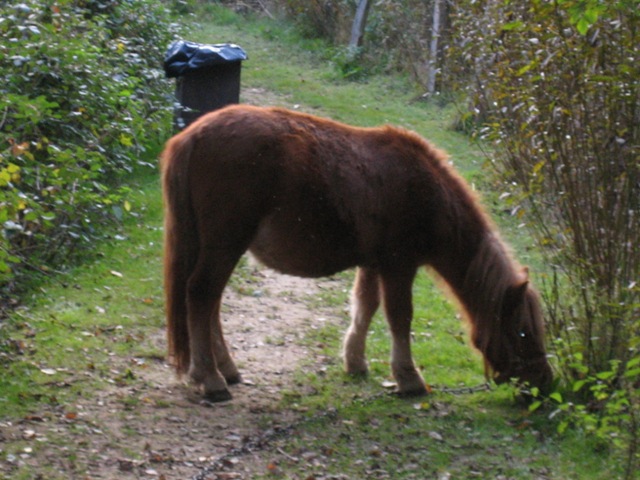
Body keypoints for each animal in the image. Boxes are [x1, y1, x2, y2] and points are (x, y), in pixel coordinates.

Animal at [159, 104, 552, 402]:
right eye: (522, 332)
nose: (547, 384)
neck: (428, 193)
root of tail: (192, 136)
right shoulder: (398, 266)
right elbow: (399, 317)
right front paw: (408, 378)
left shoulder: (374, 264)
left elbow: (365, 308)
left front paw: (355, 363)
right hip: (224, 245)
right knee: (202, 295)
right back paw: (210, 378)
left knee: (210, 303)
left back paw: (225, 369)